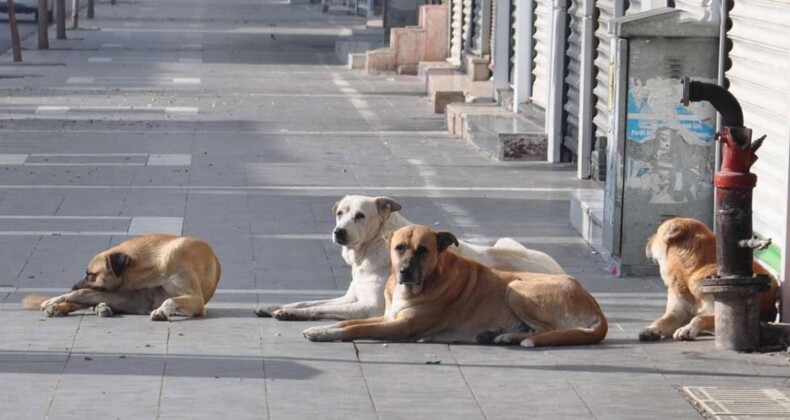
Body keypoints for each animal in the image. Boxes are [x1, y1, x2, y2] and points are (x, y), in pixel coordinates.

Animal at [23, 233, 221, 322]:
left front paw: (162, 311)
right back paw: (59, 307)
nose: (72, 286)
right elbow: (82, 294)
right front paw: (55, 299)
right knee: (86, 299)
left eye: (90, 274)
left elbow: (170, 299)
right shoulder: (135, 298)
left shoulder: (196, 300)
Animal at [302, 226, 608, 348]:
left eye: (423, 250)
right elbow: (346, 323)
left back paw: (510, 336)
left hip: (516, 288)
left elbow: (354, 328)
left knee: (548, 331)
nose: (404, 271)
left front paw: (322, 333)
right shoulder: (388, 317)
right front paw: (322, 328)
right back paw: (501, 334)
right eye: (399, 248)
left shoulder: (400, 326)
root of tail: (594, 305)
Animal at [644, 217, 780, 342]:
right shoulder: (677, 314)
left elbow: (699, 317)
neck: (692, 272)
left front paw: (687, 329)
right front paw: (651, 328)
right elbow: (661, 320)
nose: (648, 239)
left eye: (657, 232)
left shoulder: (721, 313)